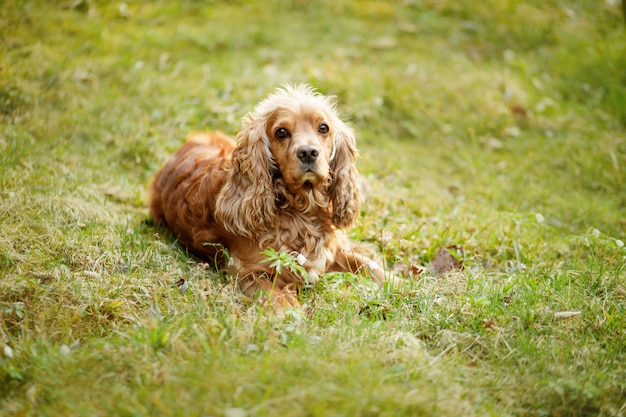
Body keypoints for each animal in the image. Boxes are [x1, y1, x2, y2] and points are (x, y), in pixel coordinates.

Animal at [149, 83, 388, 306]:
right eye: (281, 132)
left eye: (323, 128)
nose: (308, 152)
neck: (301, 211)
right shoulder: (247, 271)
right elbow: (274, 296)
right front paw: (289, 313)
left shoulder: (328, 253)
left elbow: (368, 266)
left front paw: (396, 284)